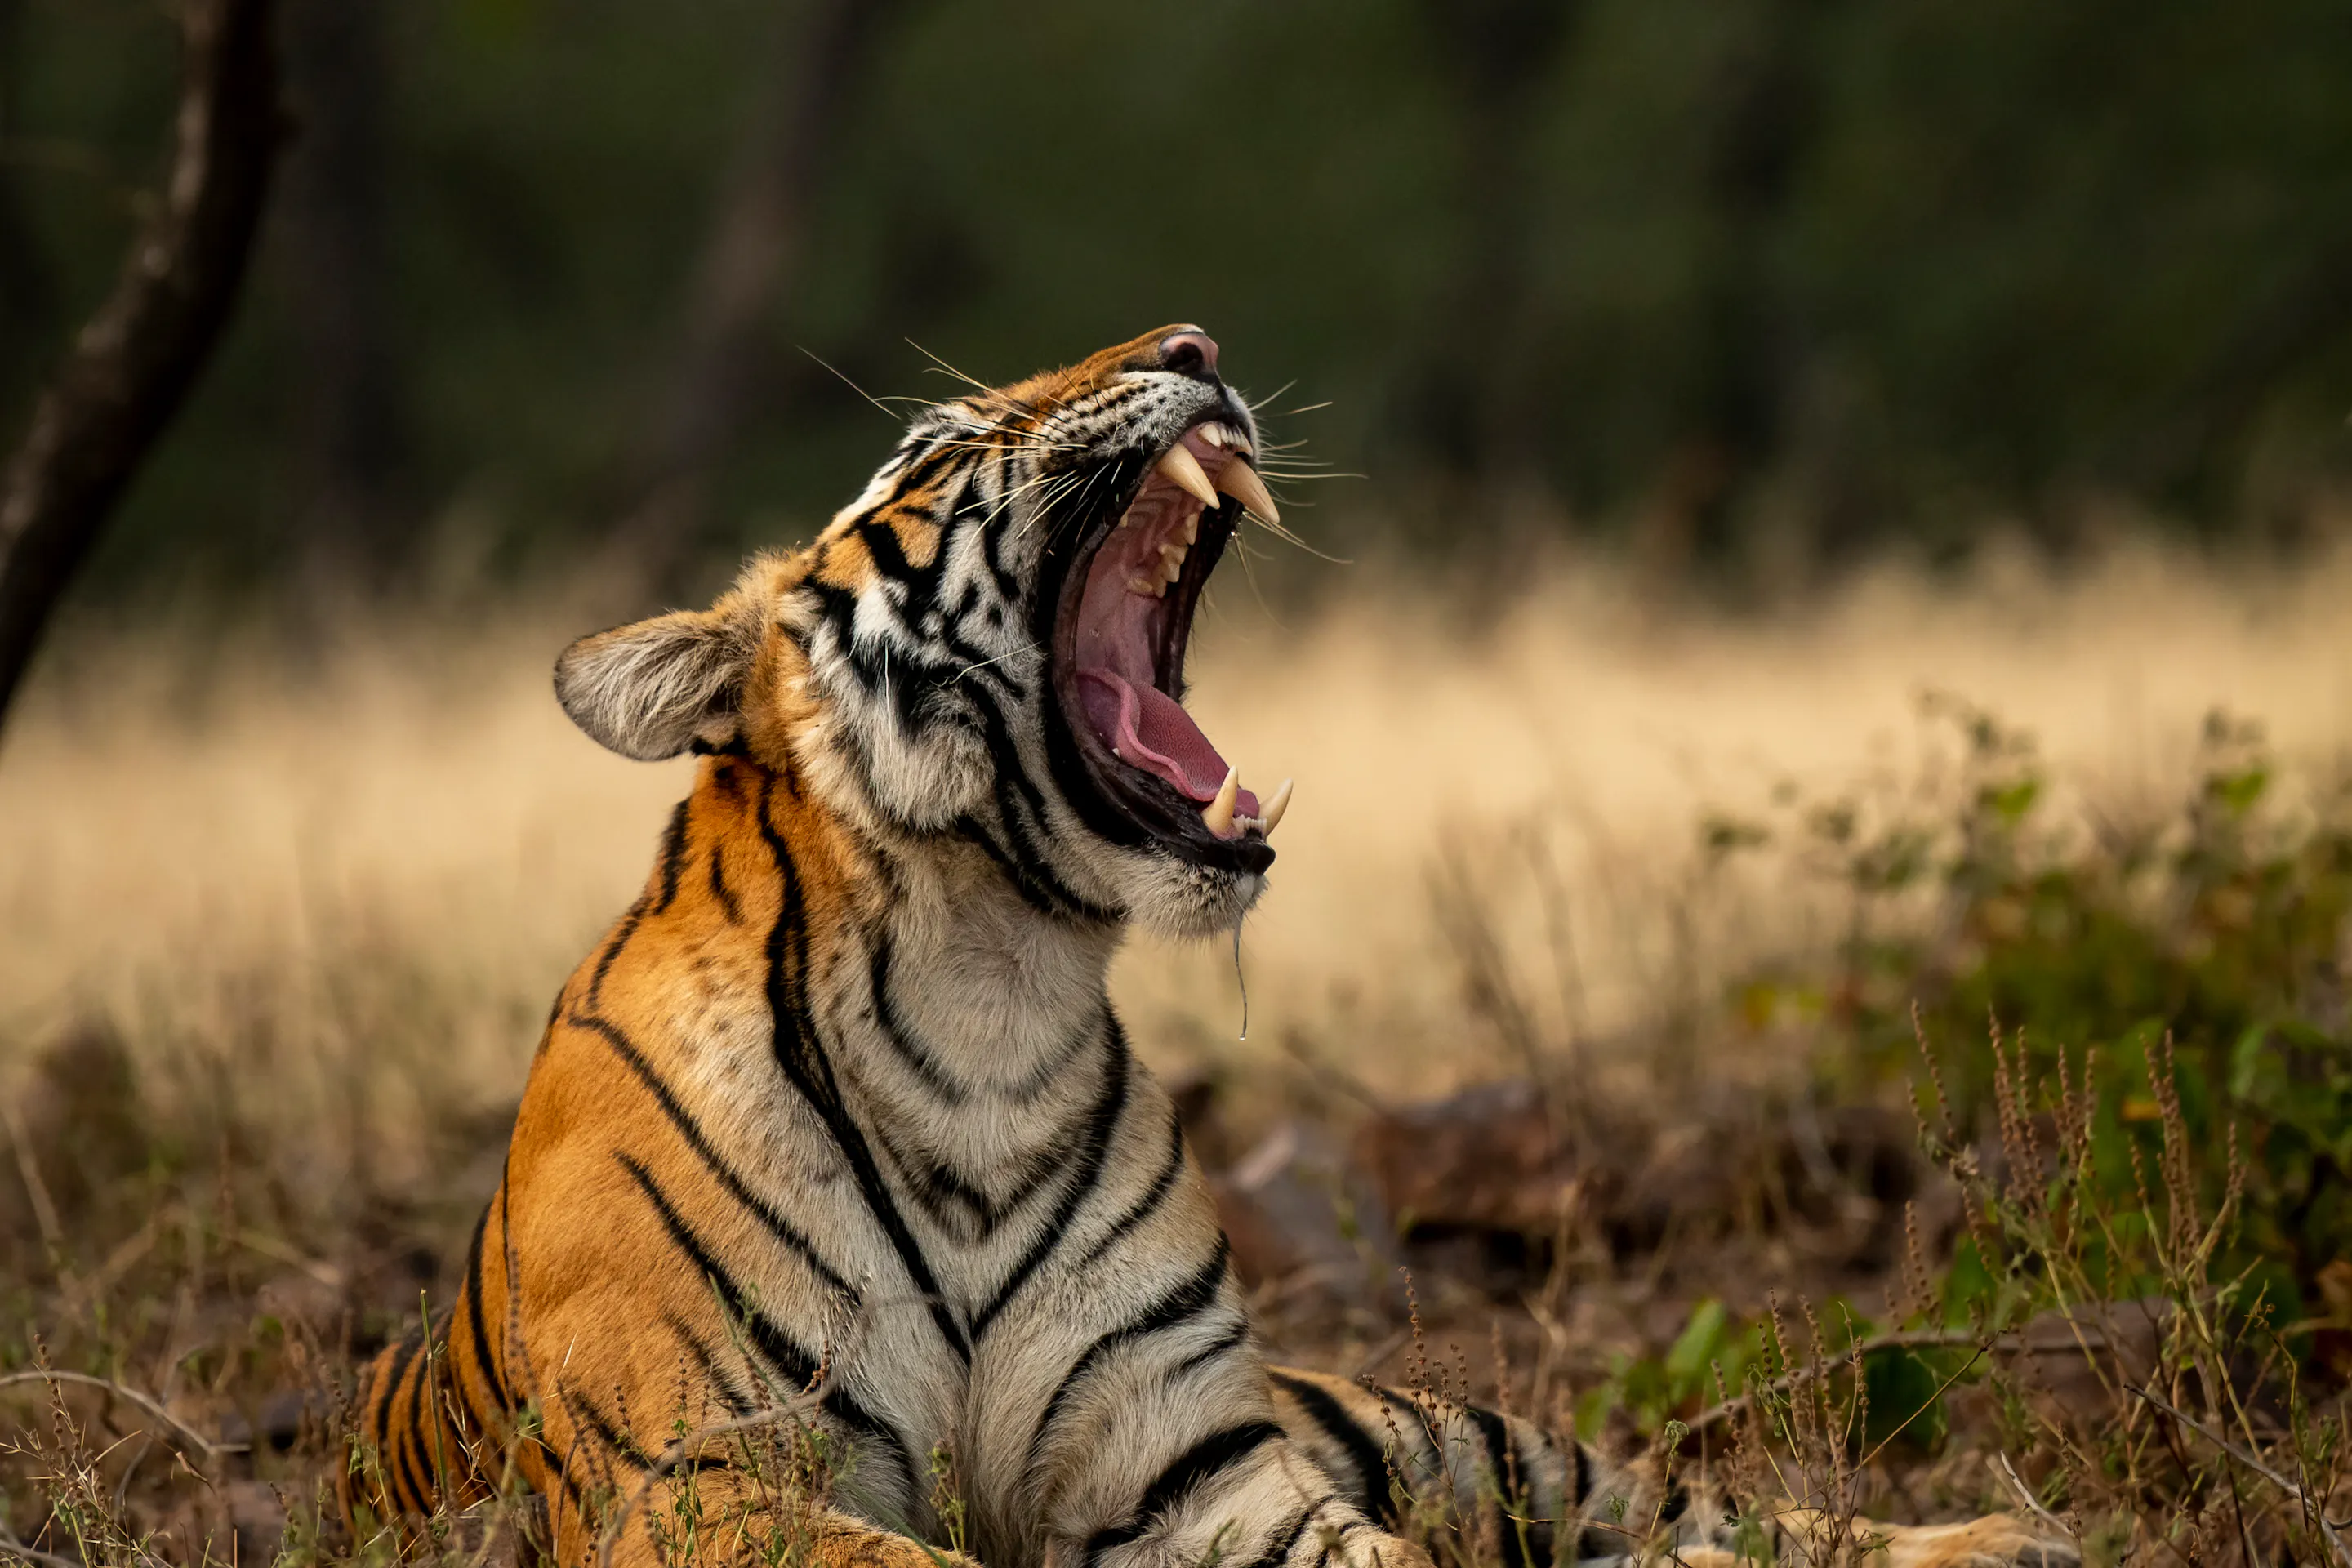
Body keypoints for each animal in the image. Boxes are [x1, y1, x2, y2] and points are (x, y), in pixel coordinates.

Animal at [345, 326, 2075, 1568]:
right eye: (940, 446)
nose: (1195, 340)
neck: (987, 1005)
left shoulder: (1200, 1472)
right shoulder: (696, 1477)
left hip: (1456, 1433)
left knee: (1706, 1518)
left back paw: (2003, 1537)